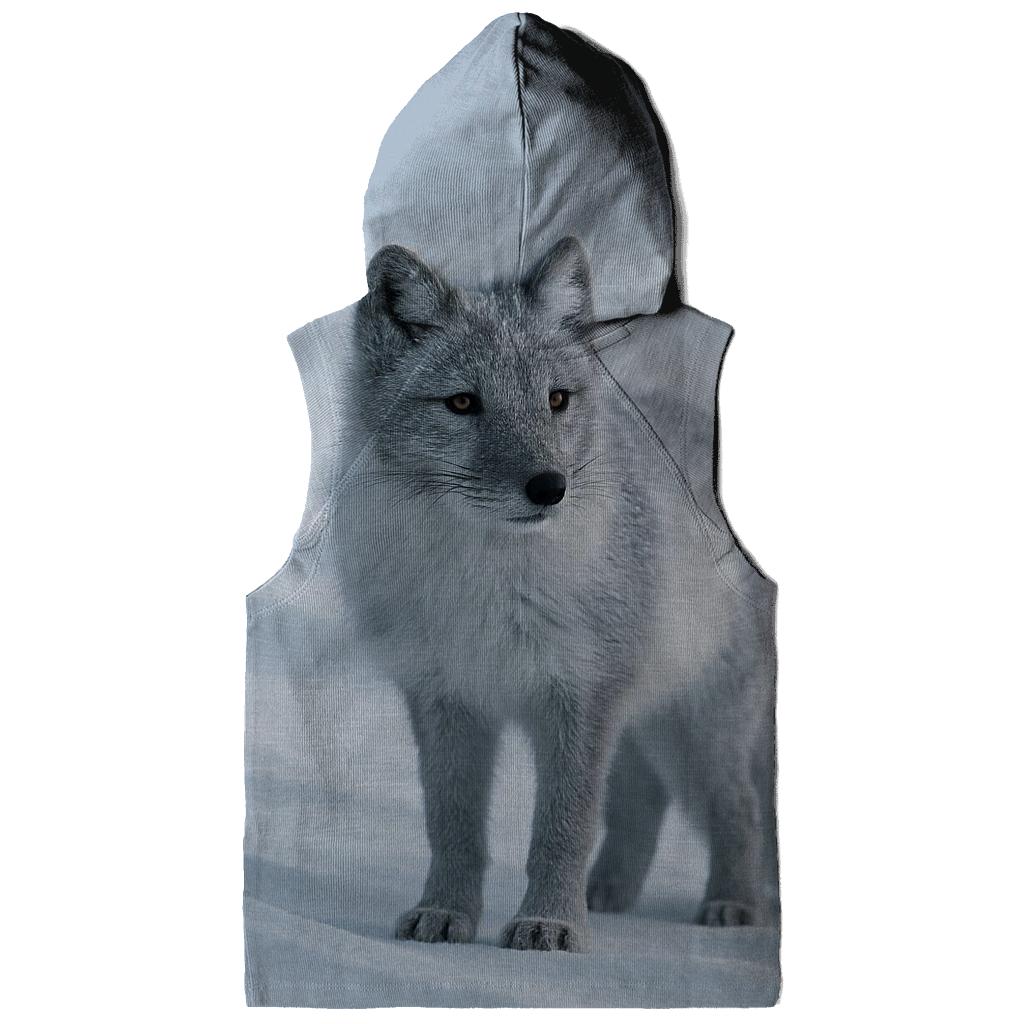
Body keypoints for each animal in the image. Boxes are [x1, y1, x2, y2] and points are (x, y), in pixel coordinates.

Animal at [338, 236, 775, 952]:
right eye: (463, 404)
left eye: (557, 399)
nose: (549, 487)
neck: (489, 581)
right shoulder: (445, 695)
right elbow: (452, 825)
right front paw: (445, 914)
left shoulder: (579, 696)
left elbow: (562, 827)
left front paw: (549, 925)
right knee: (640, 801)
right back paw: (609, 898)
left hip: (697, 725)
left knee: (735, 807)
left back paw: (732, 906)